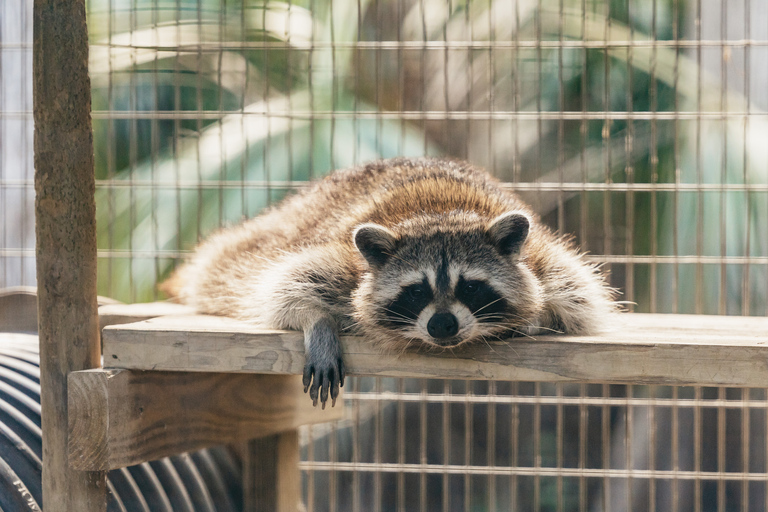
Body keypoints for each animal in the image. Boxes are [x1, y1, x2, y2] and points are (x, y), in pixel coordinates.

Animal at [164, 158, 616, 406]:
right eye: (416, 291)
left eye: (470, 286)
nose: (442, 325)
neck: (441, 213)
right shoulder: (343, 264)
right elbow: (284, 288)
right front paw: (319, 323)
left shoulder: (546, 261)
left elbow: (580, 302)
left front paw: (529, 319)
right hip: (272, 235)